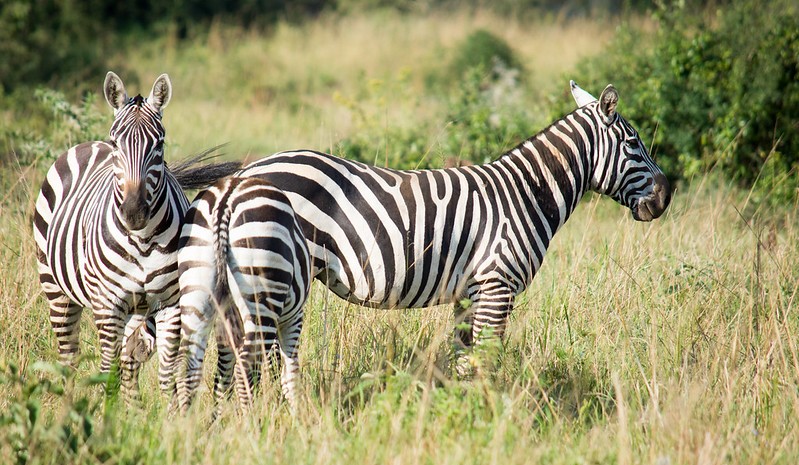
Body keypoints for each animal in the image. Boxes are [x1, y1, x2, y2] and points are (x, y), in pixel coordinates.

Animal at [33, 70, 241, 396]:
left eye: (159, 144)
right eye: (116, 143)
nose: (133, 212)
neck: (142, 242)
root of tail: (88, 144)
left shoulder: (171, 305)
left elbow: (166, 374)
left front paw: (167, 410)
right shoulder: (108, 305)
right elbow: (107, 372)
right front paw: (104, 409)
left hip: (137, 308)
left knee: (129, 363)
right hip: (55, 289)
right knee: (70, 356)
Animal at [176, 175, 312, 414]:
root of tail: (225, 199)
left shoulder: (228, 325)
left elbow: (223, 374)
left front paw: (218, 416)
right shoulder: (293, 317)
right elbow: (290, 372)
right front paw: (297, 415)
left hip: (196, 288)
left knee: (187, 365)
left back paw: (184, 421)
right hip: (262, 292)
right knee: (246, 366)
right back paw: (252, 420)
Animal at [234, 81, 672, 376]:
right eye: (634, 143)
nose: (666, 196)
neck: (527, 194)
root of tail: (249, 170)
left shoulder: (469, 293)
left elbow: (465, 362)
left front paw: (463, 414)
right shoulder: (497, 285)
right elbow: (488, 361)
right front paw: (490, 417)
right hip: (269, 275)